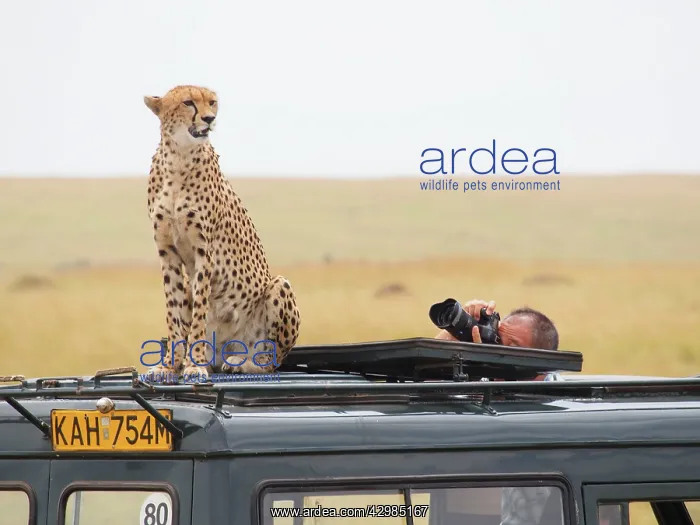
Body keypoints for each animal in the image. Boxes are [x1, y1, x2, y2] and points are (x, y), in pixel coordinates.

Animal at [142, 84, 300, 384]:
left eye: (212, 102)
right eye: (188, 102)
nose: (209, 119)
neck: (179, 157)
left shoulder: (205, 251)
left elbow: (199, 313)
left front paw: (194, 364)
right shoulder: (167, 252)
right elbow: (174, 312)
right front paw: (170, 365)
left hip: (279, 286)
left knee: (272, 361)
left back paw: (244, 362)